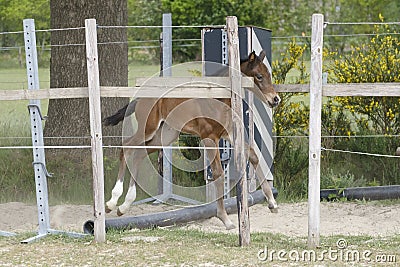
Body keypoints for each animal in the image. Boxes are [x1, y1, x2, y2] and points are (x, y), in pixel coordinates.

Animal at [104, 50, 280, 230]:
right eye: (259, 76)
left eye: (268, 74)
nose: (275, 99)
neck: (218, 99)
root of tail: (139, 98)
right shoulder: (209, 137)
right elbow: (217, 172)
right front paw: (225, 219)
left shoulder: (228, 134)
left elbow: (253, 155)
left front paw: (272, 203)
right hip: (147, 130)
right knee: (126, 147)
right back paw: (112, 202)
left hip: (165, 136)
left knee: (139, 154)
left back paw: (124, 206)